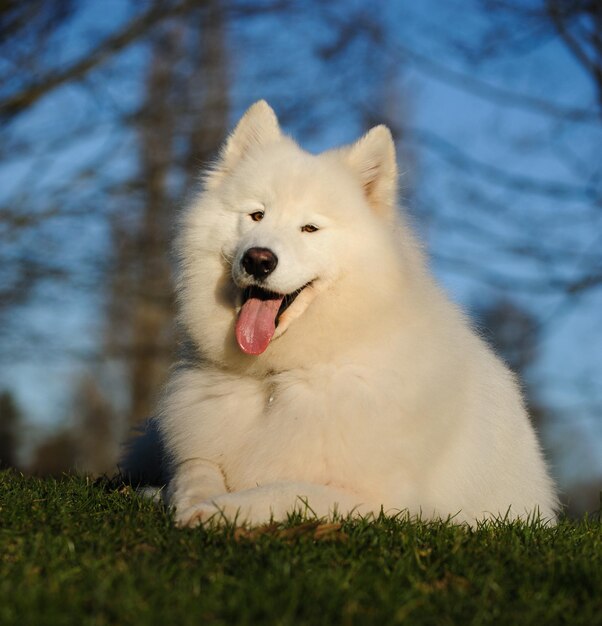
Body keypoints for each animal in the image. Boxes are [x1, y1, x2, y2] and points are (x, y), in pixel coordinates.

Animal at [123, 100, 556, 524]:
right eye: (257, 215)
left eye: (310, 229)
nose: (258, 259)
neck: (279, 378)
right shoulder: (198, 449)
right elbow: (194, 469)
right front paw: (184, 499)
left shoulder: (381, 504)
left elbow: (280, 493)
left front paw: (217, 511)